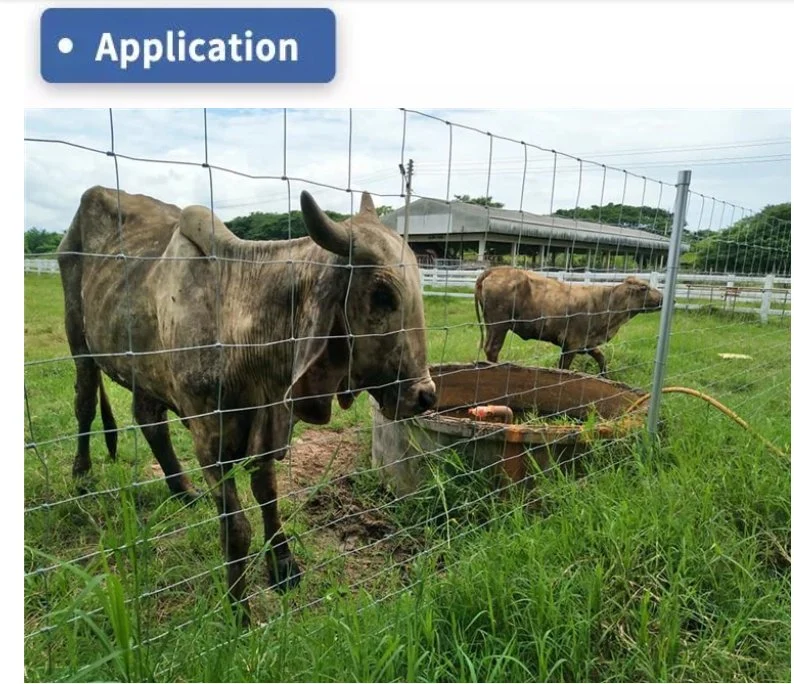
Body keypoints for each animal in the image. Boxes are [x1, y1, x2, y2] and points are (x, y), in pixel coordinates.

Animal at [58, 184, 436, 624]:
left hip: (143, 368)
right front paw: (239, 608)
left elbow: (267, 495)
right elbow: (236, 528)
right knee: (85, 403)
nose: (425, 395)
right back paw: (82, 474)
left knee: (149, 419)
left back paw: (182, 490)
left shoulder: (268, 423)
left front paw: (284, 567)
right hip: (80, 343)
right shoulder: (210, 441)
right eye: (382, 294)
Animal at [470, 266, 664, 374]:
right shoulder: (571, 344)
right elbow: (563, 368)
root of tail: (497, 269)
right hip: (498, 325)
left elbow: (602, 359)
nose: (663, 298)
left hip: (492, 325)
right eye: (644, 288)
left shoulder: (587, 343)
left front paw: (604, 376)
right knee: (493, 348)